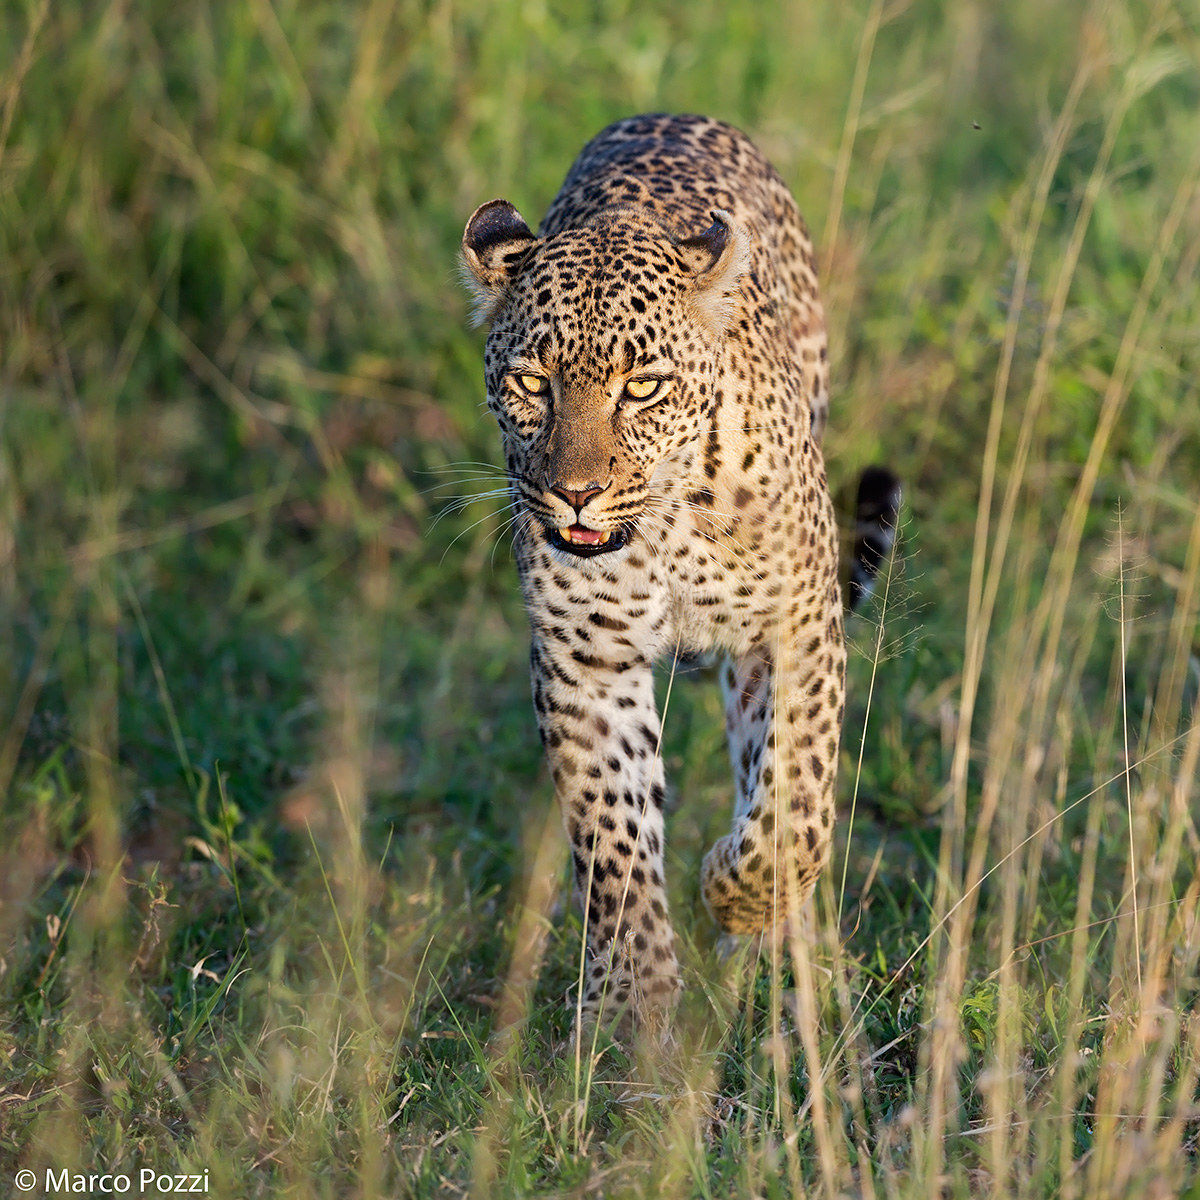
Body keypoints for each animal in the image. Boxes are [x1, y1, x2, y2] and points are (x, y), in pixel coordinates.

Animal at [461, 113, 899, 1036]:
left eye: (643, 388)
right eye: (531, 383)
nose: (576, 493)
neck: (662, 527)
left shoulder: (797, 625)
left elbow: (795, 806)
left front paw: (736, 899)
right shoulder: (585, 662)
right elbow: (613, 840)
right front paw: (633, 1004)